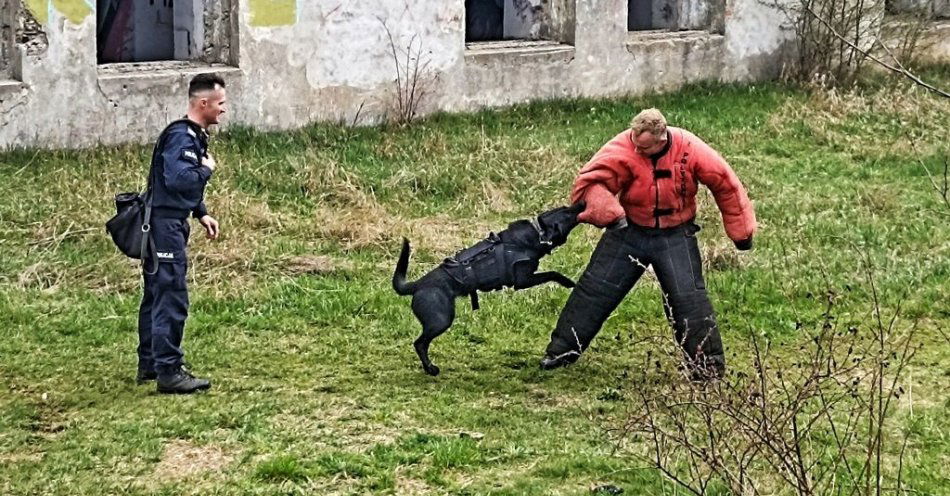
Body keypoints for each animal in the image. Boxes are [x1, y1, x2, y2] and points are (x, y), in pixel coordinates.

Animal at [390, 202, 584, 376]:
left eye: (565, 207)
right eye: (567, 213)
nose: (582, 203)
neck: (537, 234)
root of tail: (417, 285)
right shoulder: (523, 279)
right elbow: (552, 273)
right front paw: (568, 282)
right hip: (441, 320)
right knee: (420, 344)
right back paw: (430, 369)